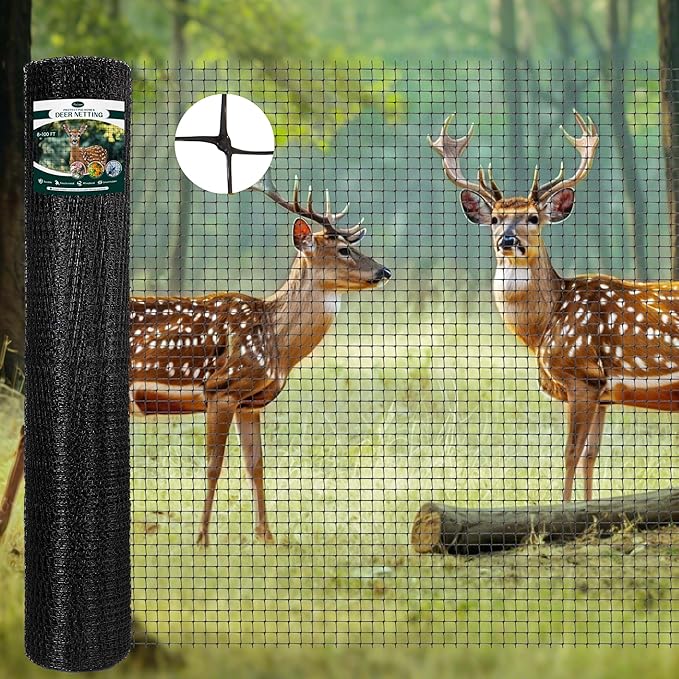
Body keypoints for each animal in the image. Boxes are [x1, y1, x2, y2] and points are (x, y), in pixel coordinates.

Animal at [0, 176, 391, 545]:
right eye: (343, 249)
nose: (384, 271)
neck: (275, 344)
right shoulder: (221, 389)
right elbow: (214, 466)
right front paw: (202, 538)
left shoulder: (250, 403)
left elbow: (256, 465)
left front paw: (267, 538)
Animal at [431, 109, 679, 503]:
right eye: (496, 218)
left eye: (534, 217)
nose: (507, 240)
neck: (545, 325)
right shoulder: (602, 391)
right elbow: (591, 456)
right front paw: (588, 508)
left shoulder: (580, 375)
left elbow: (570, 454)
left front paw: (562, 509)